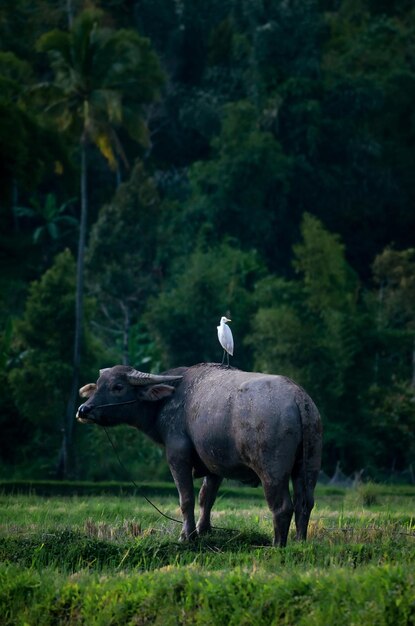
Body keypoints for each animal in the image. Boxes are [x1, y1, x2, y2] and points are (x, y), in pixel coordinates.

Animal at [79, 364, 324, 544]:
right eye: (98, 385)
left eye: (118, 386)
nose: (84, 410)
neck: (169, 400)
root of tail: (299, 399)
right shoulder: (213, 464)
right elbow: (207, 497)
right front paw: (203, 530)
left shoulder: (177, 455)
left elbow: (186, 498)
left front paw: (187, 535)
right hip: (308, 466)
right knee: (305, 502)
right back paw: (300, 541)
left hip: (272, 472)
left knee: (282, 507)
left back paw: (277, 545)